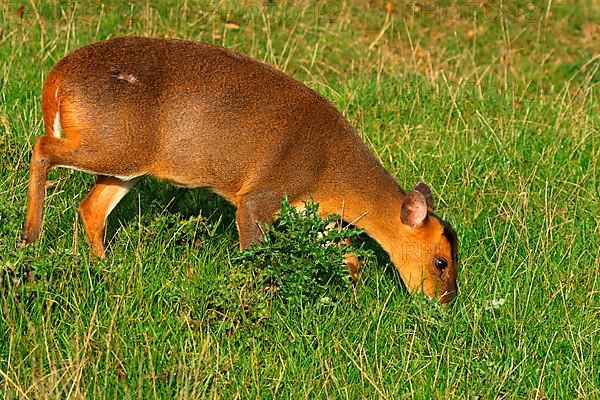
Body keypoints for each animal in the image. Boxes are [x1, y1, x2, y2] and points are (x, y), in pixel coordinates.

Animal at [21, 36, 458, 300]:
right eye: (441, 262)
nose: (444, 302)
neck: (329, 173)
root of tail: (56, 78)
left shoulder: (310, 212)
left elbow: (349, 256)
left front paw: (348, 296)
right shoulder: (259, 196)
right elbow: (255, 254)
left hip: (128, 161)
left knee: (90, 207)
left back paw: (104, 267)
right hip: (115, 144)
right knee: (42, 147)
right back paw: (30, 236)